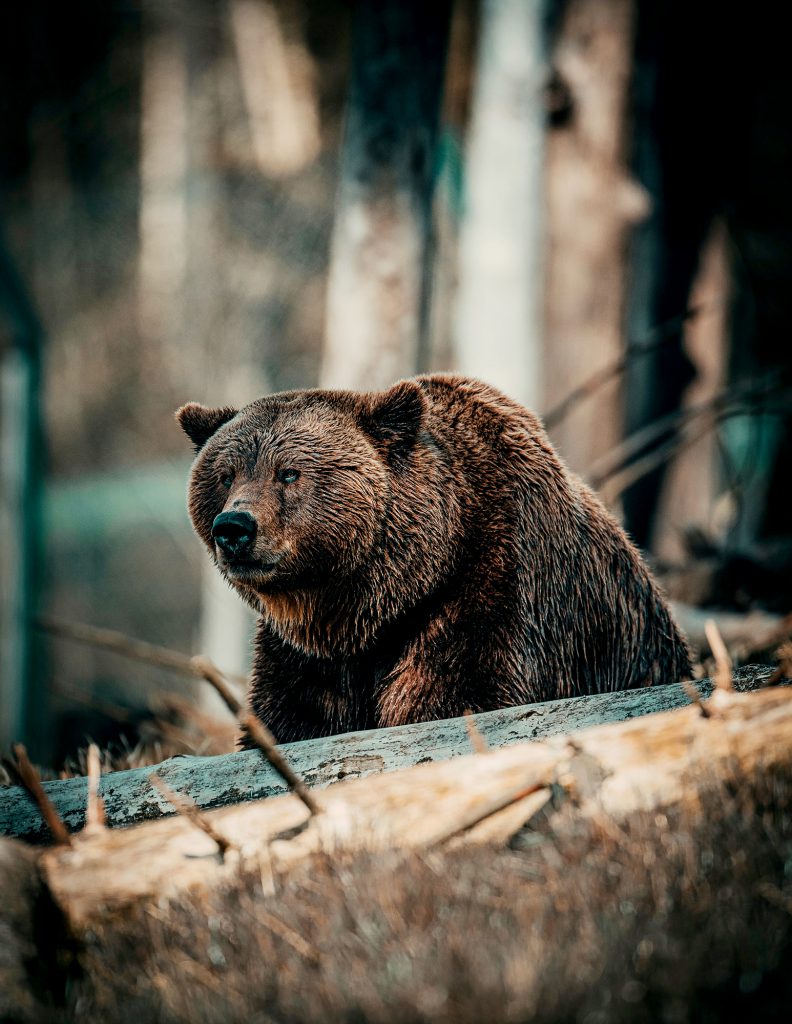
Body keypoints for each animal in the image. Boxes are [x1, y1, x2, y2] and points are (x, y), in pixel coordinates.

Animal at [176, 372, 688, 741]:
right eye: (225, 475)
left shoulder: (495, 588)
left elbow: (458, 693)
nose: (234, 528)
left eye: (289, 473)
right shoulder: (307, 656)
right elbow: (289, 718)